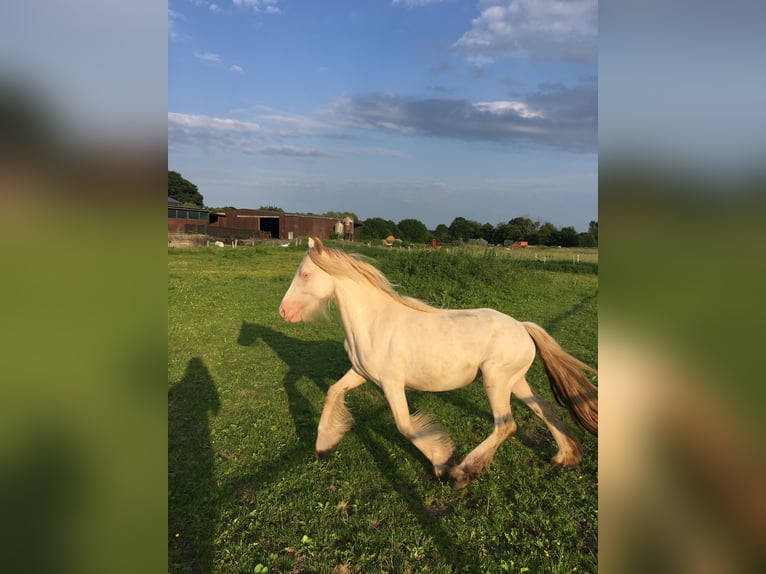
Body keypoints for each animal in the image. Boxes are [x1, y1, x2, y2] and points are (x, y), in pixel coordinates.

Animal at [280, 236, 596, 488]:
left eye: (305, 274)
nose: (283, 312)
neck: (373, 323)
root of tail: (522, 327)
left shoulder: (392, 384)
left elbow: (405, 426)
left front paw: (443, 463)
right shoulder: (359, 372)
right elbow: (332, 392)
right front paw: (324, 445)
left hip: (496, 381)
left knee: (506, 425)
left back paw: (463, 472)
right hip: (515, 381)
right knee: (544, 409)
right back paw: (565, 457)